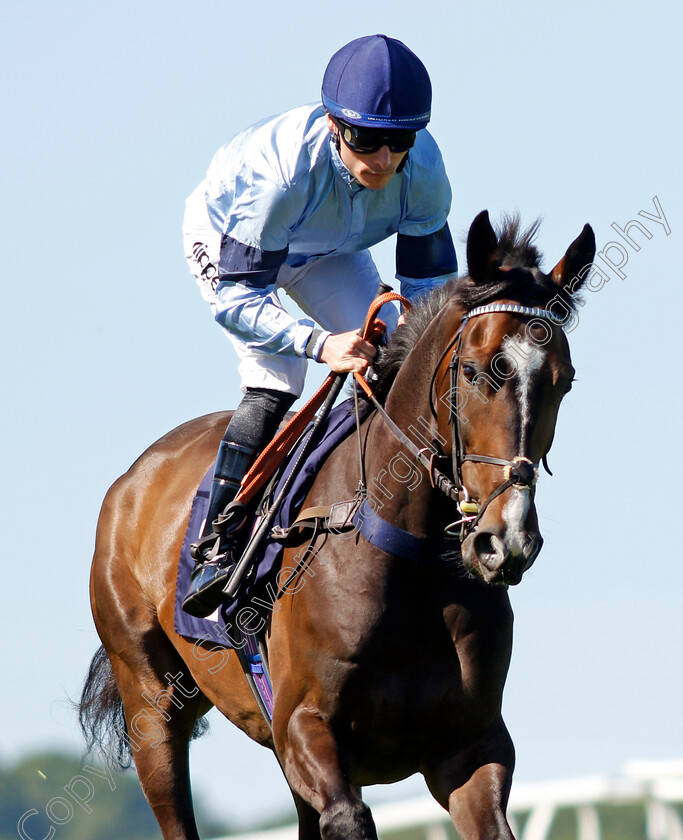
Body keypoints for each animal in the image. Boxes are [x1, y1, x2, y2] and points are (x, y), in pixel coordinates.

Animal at [79, 212, 592, 840]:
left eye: (564, 380)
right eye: (474, 371)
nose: (508, 540)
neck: (408, 559)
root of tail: (133, 479)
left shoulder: (470, 747)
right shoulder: (304, 727)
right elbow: (349, 817)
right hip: (150, 704)